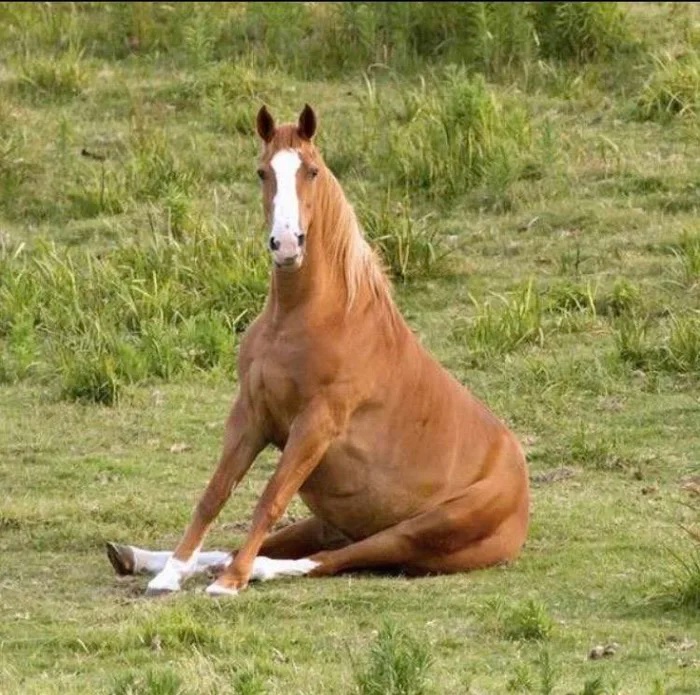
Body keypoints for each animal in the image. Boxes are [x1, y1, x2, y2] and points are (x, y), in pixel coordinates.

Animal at [106, 104, 530, 596]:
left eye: (312, 171)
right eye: (262, 172)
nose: (287, 244)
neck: (305, 318)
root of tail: (520, 498)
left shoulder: (315, 425)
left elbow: (269, 499)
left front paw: (230, 583)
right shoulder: (251, 414)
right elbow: (215, 493)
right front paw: (171, 572)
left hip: (417, 532)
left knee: (336, 559)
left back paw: (251, 570)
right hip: (330, 521)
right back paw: (138, 557)